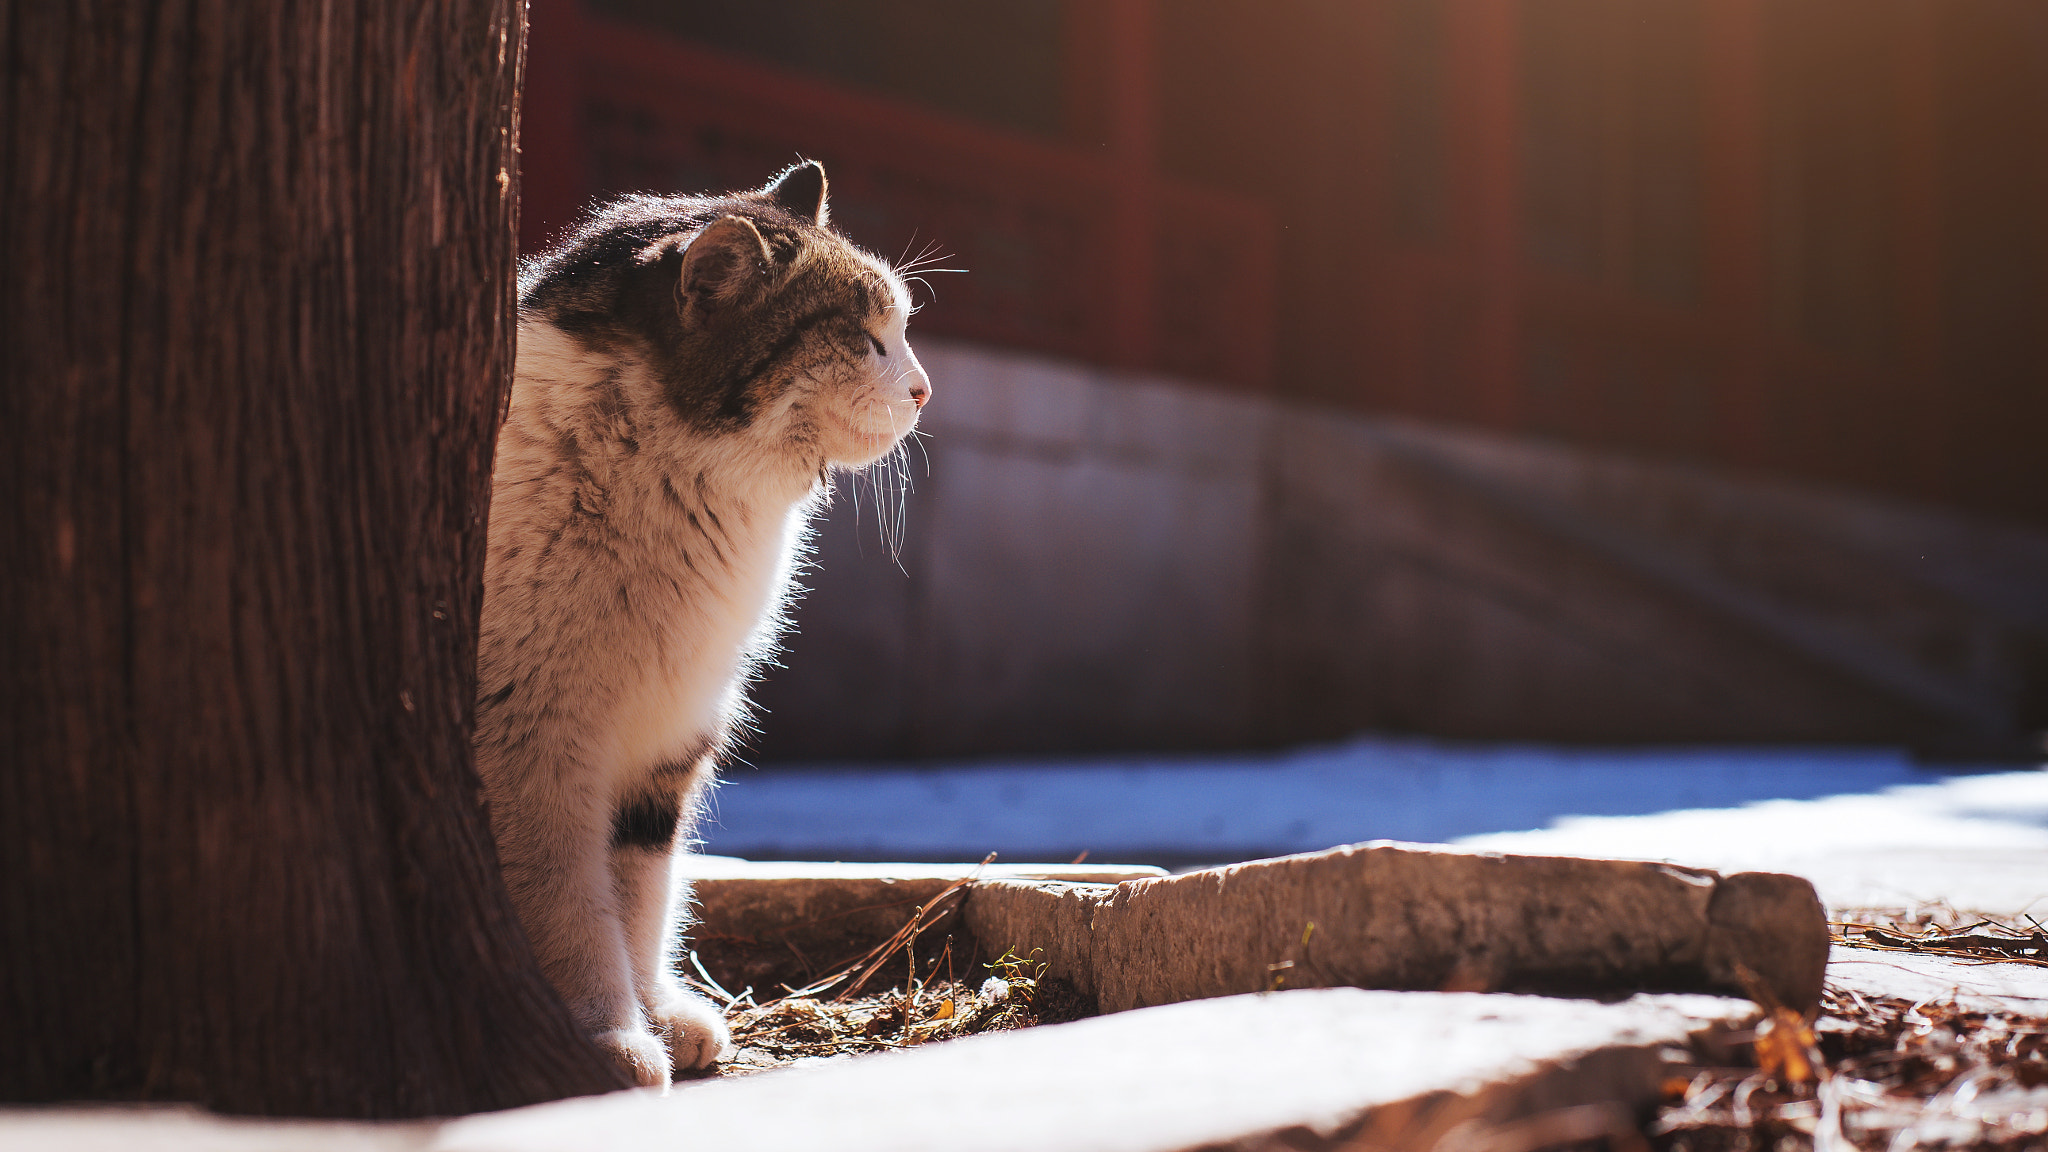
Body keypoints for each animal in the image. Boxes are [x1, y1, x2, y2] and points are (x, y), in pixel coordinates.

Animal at [471, 163, 929, 1082]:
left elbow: (642, 885)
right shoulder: (531, 741)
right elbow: (567, 897)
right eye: (865, 340)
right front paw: (608, 1037)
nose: (925, 390)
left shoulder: (672, 729)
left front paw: (659, 1012)